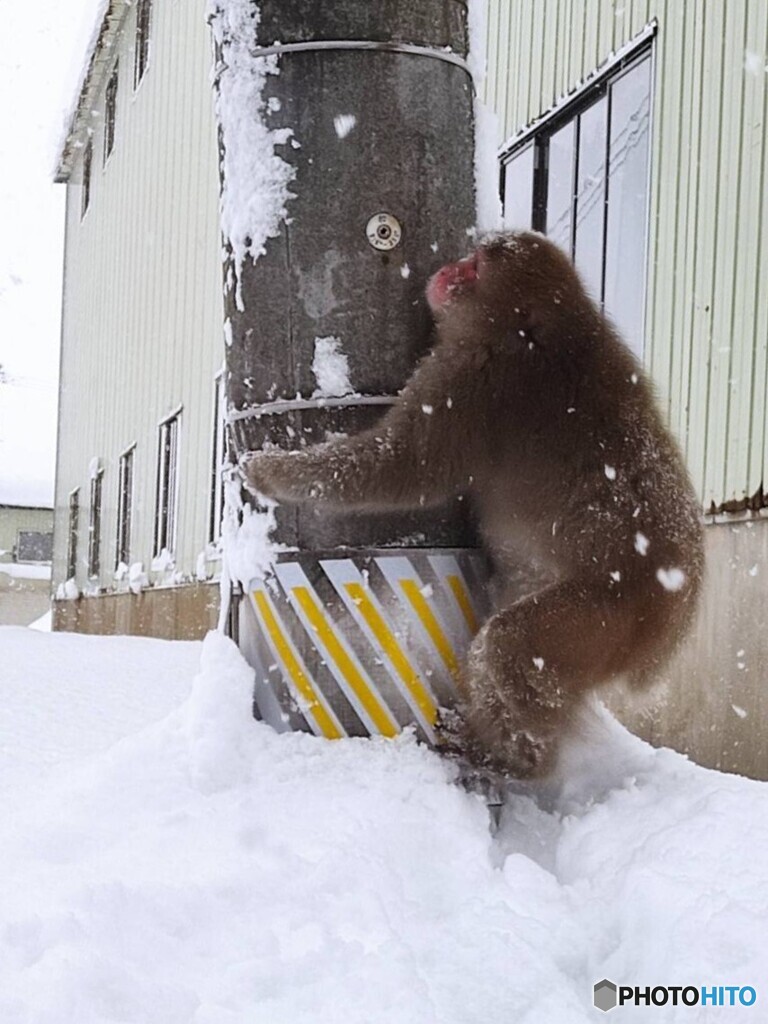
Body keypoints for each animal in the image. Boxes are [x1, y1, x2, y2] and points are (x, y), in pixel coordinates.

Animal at [243, 232, 708, 774]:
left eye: (474, 267)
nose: (447, 270)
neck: (537, 329)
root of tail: (674, 613)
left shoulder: (470, 382)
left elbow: (400, 469)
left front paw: (271, 471)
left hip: (606, 617)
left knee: (507, 648)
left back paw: (516, 755)